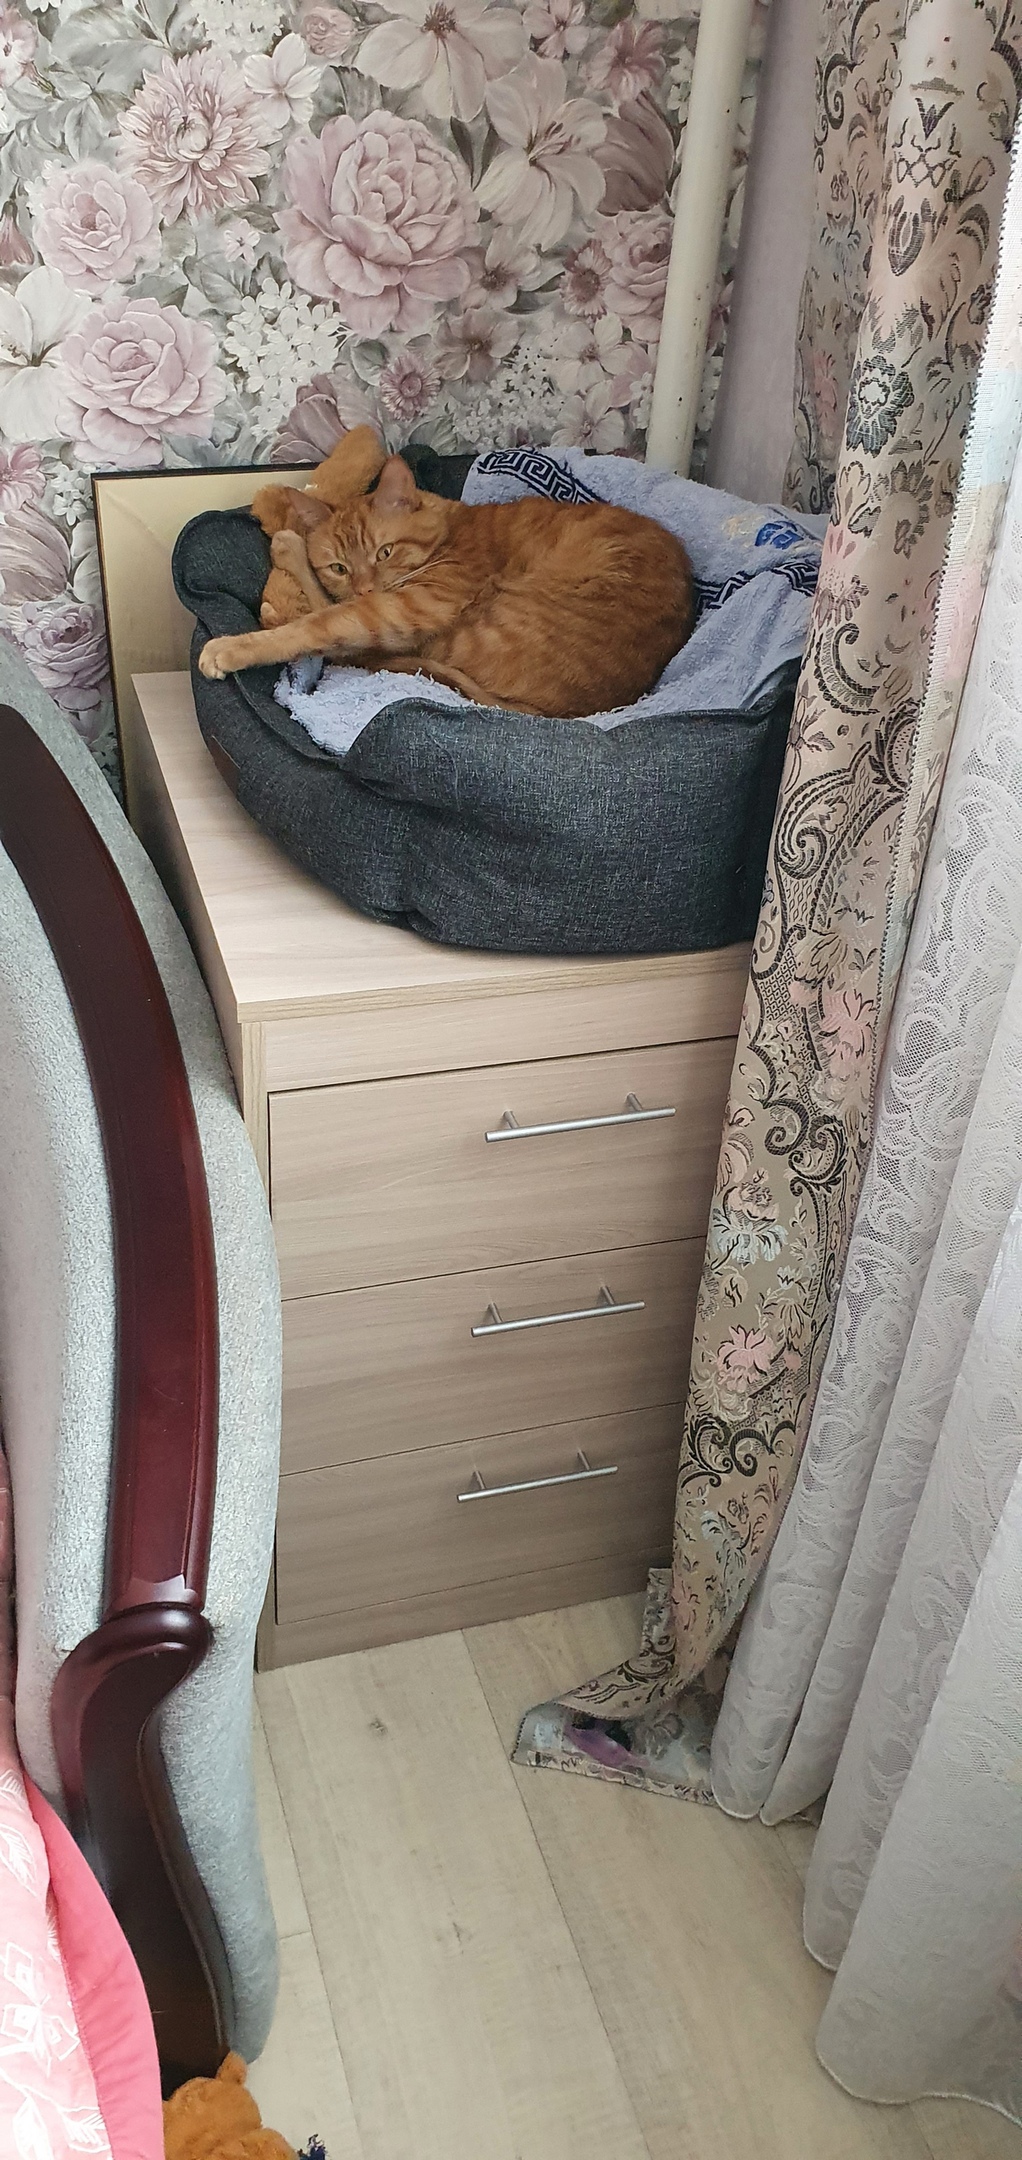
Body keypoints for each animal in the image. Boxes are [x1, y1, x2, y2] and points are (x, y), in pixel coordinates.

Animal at [199, 447, 695, 720]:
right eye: (340, 567)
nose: (365, 589)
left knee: (350, 645)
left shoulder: (409, 606)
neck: (448, 531)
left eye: (384, 553)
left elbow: (317, 626)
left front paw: (232, 648)